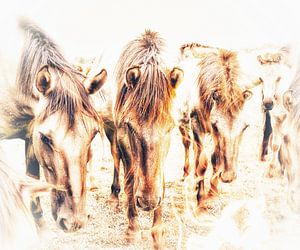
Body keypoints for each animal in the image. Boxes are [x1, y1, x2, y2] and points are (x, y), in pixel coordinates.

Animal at [113, 29, 183, 248]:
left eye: (170, 127)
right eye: (130, 126)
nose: (147, 202)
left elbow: (161, 181)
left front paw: (157, 233)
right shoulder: (123, 137)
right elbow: (130, 181)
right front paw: (133, 229)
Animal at [177, 43, 258, 203]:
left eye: (245, 127)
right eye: (215, 125)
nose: (228, 176)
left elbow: (215, 158)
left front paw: (213, 190)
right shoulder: (197, 125)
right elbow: (202, 163)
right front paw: (200, 196)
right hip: (182, 123)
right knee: (187, 144)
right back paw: (186, 174)